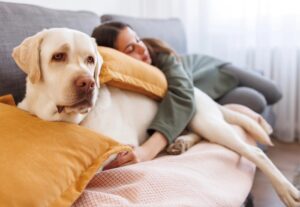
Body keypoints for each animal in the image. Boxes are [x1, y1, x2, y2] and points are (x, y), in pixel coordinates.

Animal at [12, 27, 300, 207]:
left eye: (91, 60)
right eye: (58, 56)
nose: (88, 83)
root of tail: (201, 93)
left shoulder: (123, 146)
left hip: (207, 121)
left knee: (256, 152)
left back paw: (288, 191)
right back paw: (181, 143)